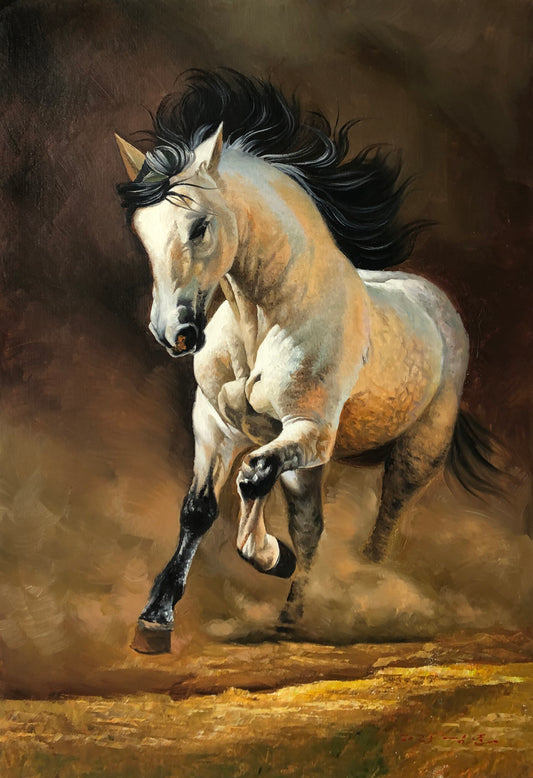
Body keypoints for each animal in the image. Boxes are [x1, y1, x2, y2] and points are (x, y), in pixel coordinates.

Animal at [115, 70, 504, 654]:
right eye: (141, 229)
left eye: (199, 226)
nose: (175, 334)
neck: (263, 322)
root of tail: (436, 301)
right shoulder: (215, 426)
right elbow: (199, 509)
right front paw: (155, 620)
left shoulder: (311, 431)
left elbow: (253, 478)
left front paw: (270, 557)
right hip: (309, 465)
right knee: (312, 526)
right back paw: (291, 618)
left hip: (414, 453)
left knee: (382, 528)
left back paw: (365, 593)